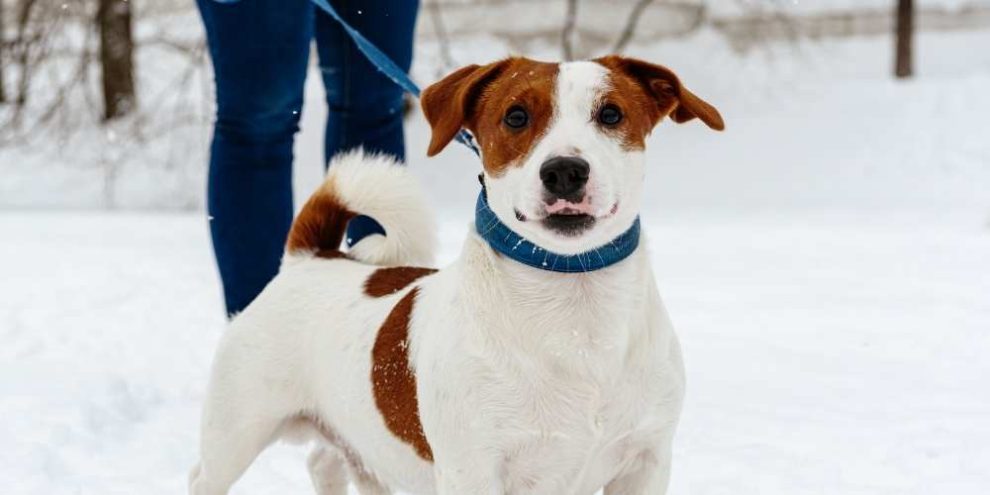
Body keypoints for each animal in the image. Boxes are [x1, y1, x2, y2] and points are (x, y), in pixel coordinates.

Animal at [192, 56, 720, 495]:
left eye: (610, 114)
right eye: (515, 116)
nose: (565, 171)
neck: (574, 310)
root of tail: (311, 257)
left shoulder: (645, 462)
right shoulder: (474, 469)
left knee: (326, 462)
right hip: (235, 431)